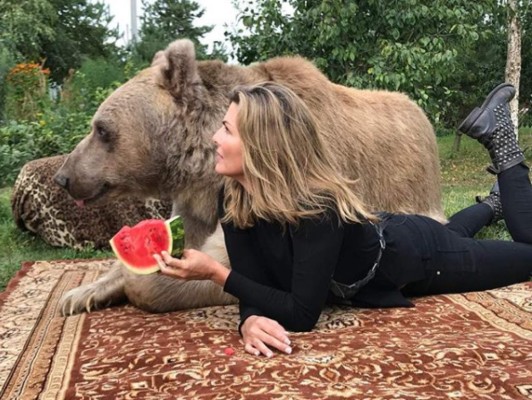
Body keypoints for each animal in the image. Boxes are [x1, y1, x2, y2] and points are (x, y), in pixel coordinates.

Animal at [57, 39, 444, 316]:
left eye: (102, 129)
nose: (64, 177)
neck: (204, 167)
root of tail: (423, 117)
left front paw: (138, 282)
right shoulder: (198, 201)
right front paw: (78, 294)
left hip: (408, 184)